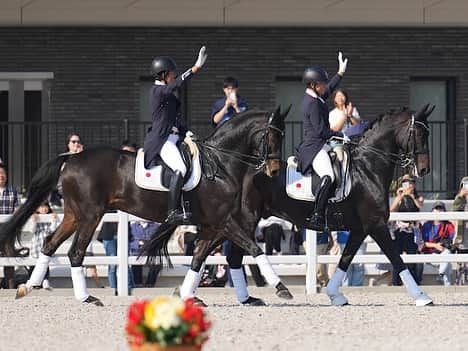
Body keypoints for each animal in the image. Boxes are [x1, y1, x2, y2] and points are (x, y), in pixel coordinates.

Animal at [0, 108, 288, 306]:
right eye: (272, 136)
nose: (274, 170)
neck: (219, 163)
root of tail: (71, 158)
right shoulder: (224, 221)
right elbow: (254, 248)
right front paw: (280, 287)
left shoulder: (212, 225)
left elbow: (198, 259)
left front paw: (186, 295)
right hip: (91, 215)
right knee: (75, 252)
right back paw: (86, 298)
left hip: (73, 214)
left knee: (50, 243)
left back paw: (28, 286)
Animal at [186, 106, 436, 306]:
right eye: (419, 133)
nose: (424, 169)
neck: (367, 168)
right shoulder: (376, 225)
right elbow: (398, 259)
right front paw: (422, 297)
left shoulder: (359, 229)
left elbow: (345, 260)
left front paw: (336, 295)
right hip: (243, 220)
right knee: (228, 252)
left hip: (233, 222)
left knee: (213, 253)